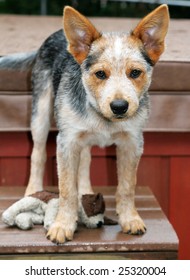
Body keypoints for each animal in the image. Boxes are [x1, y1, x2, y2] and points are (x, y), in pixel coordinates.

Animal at [0, 4, 169, 243]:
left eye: (135, 72)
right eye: (100, 74)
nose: (119, 106)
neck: (103, 118)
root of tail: (57, 33)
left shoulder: (132, 142)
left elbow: (127, 186)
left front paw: (130, 219)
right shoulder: (66, 142)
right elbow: (66, 190)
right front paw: (62, 225)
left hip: (82, 136)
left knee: (85, 161)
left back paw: (86, 192)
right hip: (40, 114)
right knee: (38, 154)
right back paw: (32, 190)